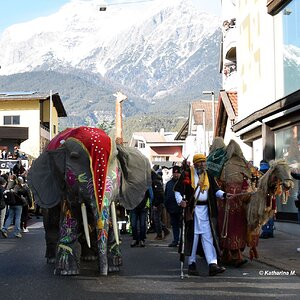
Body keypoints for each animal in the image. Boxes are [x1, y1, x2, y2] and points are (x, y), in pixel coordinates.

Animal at [27, 125, 152, 276]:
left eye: (114, 158)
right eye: (74, 157)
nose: (103, 274)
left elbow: (108, 219)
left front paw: (114, 267)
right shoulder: (66, 187)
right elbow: (70, 216)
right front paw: (67, 271)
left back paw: (89, 257)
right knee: (51, 222)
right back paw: (52, 259)